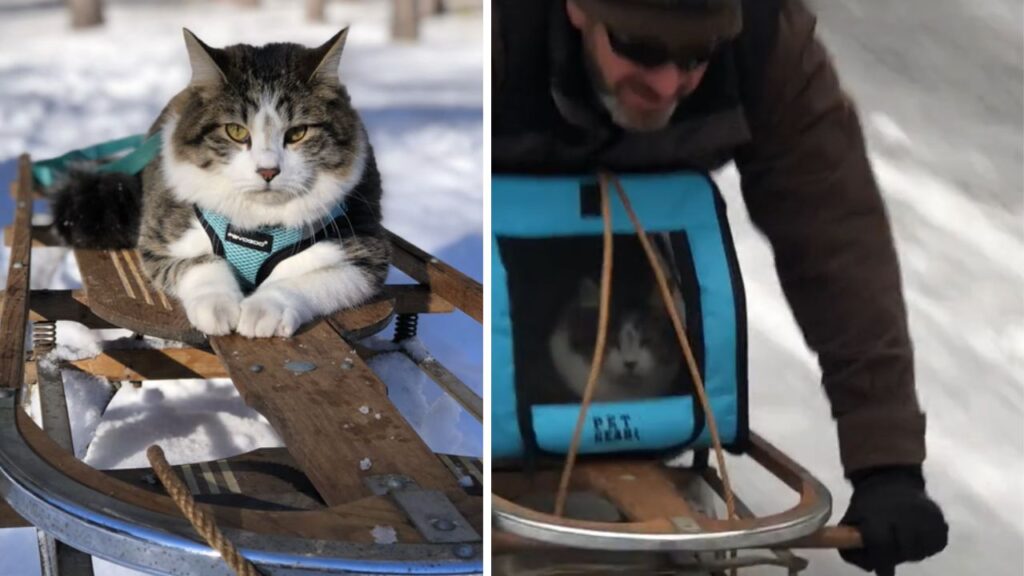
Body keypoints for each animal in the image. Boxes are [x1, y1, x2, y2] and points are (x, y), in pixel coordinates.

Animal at [57, 29, 391, 336]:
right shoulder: (159, 238)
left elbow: (305, 279)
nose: (268, 171)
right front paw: (217, 306)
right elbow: (201, 262)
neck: (258, 225)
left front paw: (265, 309)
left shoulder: (365, 252)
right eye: (236, 131)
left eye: (298, 133)